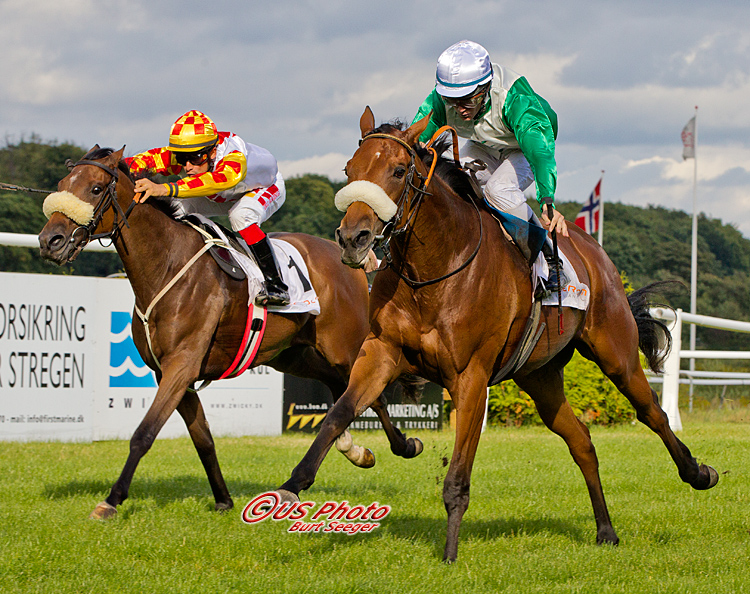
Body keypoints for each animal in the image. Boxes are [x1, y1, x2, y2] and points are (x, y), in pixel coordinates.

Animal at [36, 147, 424, 520]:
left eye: (96, 189)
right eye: (63, 183)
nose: (50, 240)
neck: (167, 263)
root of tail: (350, 257)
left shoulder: (181, 365)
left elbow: (144, 433)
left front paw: (111, 501)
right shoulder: (171, 373)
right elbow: (203, 439)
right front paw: (223, 499)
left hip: (346, 345)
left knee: (372, 395)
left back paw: (403, 445)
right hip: (294, 355)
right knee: (339, 388)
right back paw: (354, 449)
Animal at [280, 107, 720, 560]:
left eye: (399, 171)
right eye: (349, 170)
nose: (353, 238)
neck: (436, 268)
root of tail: (593, 250)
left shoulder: (470, 376)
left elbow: (457, 476)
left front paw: (449, 555)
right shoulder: (381, 353)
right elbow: (338, 414)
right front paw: (293, 486)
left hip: (616, 353)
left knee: (652, 412)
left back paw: (698, 473)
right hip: (539, 376)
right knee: (581, 441)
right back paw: (606, 530)